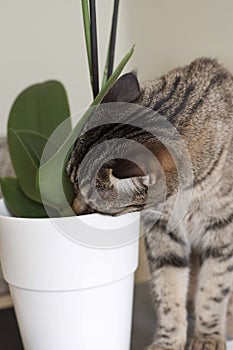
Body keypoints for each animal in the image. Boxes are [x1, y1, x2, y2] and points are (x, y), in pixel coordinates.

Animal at [67, 58, 233, 348]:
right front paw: (168, 341)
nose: (74, 210)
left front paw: (207, 336)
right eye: (68, 180)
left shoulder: (222, 229)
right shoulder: (160, 229)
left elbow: (214, 287)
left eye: (91, 204)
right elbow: (167, 289)